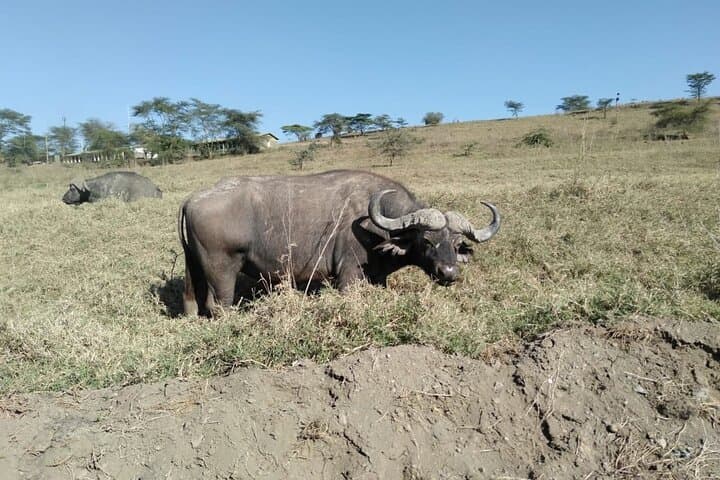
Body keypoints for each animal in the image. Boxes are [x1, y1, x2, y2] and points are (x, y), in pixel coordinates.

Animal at [178, 170, 500, 316]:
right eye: (427, 240)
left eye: (456, 244)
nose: (449, 273)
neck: (376, 225)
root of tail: (193, 199)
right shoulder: (348, 275)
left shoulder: (377, 277)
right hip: (223, 271)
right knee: (219, 305)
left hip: (192, 267)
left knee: (191, 300)